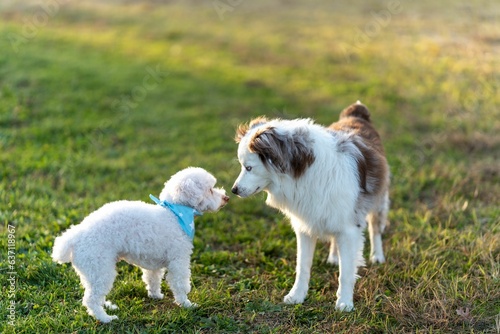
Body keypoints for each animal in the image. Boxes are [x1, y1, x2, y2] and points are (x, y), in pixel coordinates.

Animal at [52, 168, 229, 322]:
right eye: (210, 190)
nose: (226, 198)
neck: (174, 214)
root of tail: (74, 237)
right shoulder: (178, 260)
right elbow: (180, 284)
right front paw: (187, 304)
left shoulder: (154, 262)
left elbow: (153, 279)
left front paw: (155, 296)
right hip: (99, 269)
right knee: (91, 299)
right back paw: (105, 318)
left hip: (91, 272)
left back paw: (108, 306)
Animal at [231, 101, 390, 310]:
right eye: (243, 167)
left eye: (248, 167)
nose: (233, 190)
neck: (302, 171)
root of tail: (356, 114)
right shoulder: (305, 225)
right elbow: (302, 266)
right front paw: (297, 295)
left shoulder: (349, 228)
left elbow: (346, 271)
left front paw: (344, 302)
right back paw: (334, 257)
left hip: (379, 199)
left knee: (375, 228)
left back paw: (377, 255)